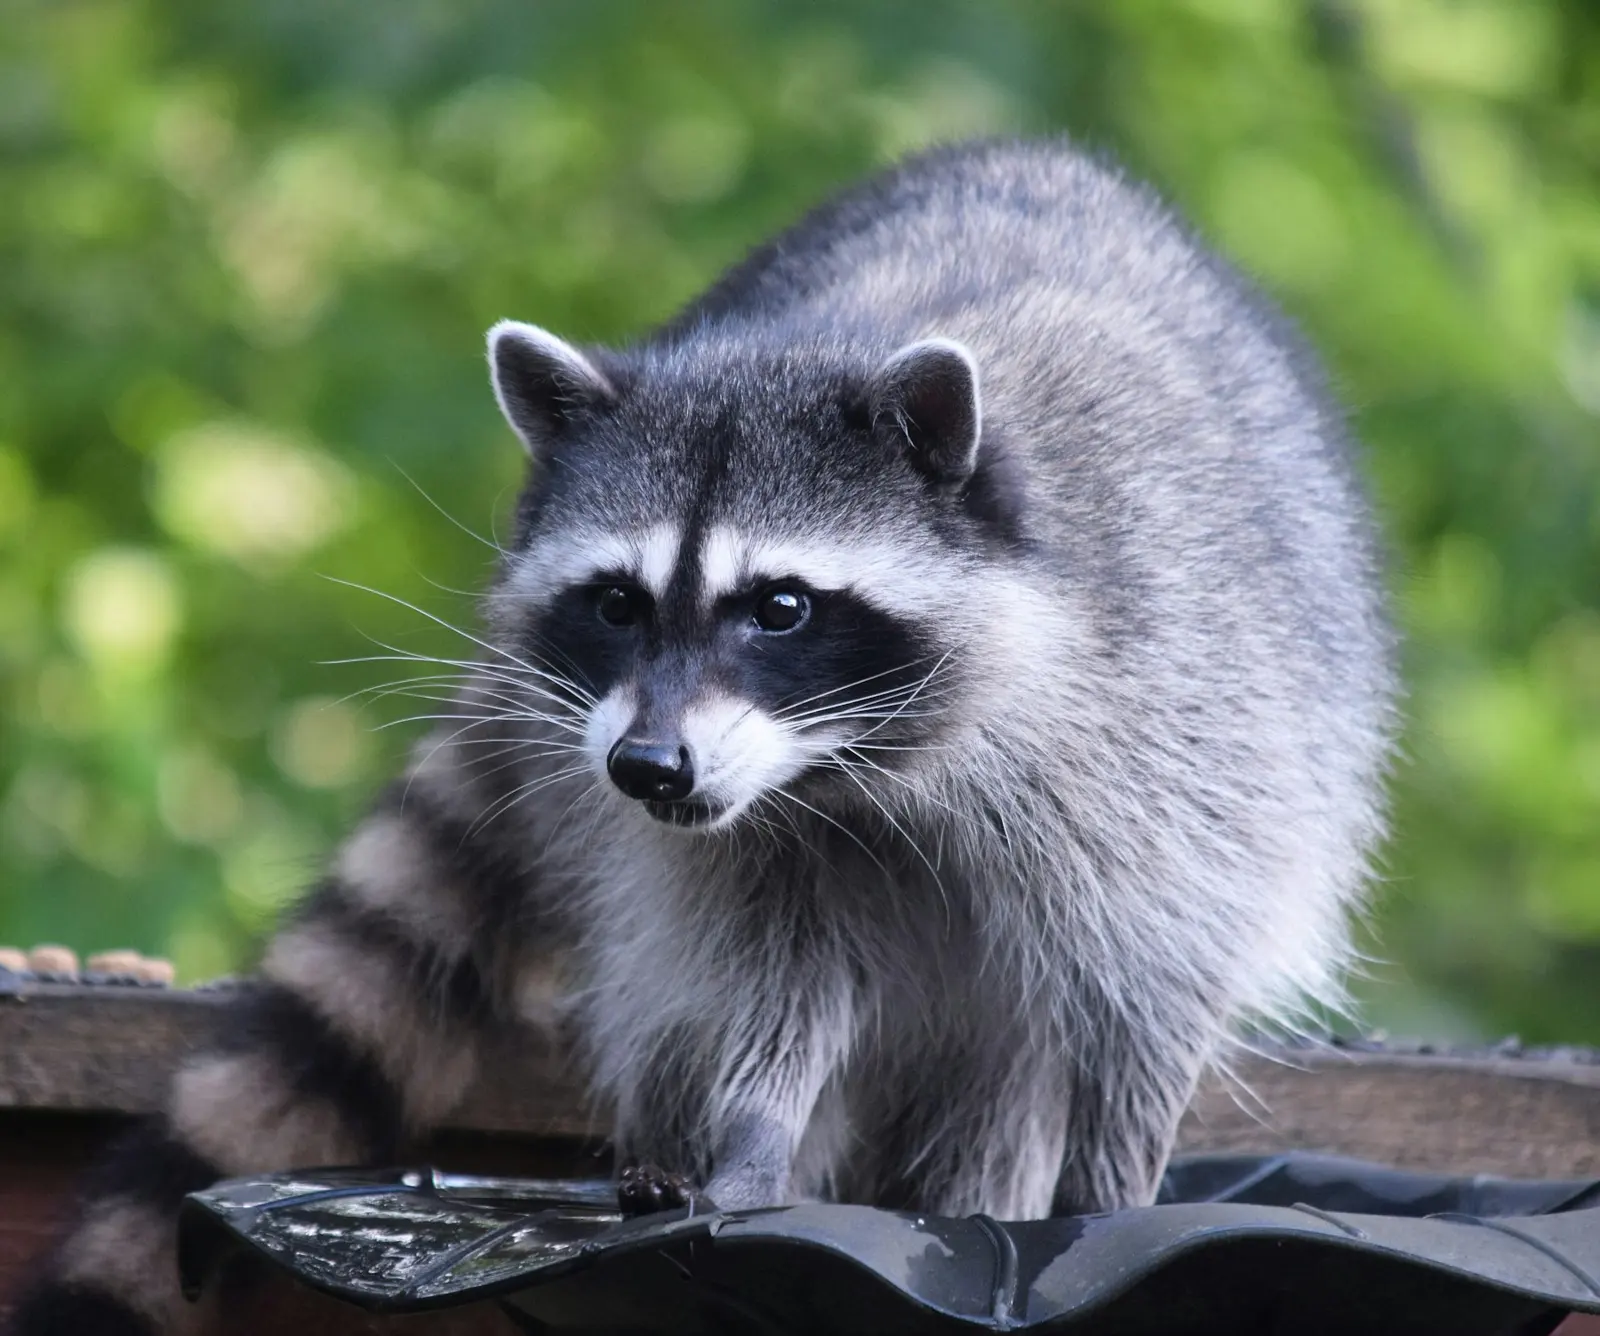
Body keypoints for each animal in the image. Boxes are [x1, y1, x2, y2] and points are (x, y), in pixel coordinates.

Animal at [9, 137, 1394, 1335]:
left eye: (778, 607)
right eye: (617, 602)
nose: (644, 766)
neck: (859, 764)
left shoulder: (1174, 724)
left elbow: (1148, 988)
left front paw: (1108, 1191)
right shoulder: (749, 836)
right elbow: (773, 976)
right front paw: (752, 1135)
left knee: (1012, 1058)